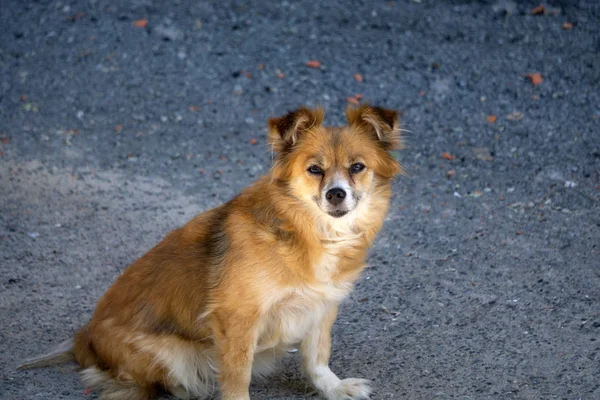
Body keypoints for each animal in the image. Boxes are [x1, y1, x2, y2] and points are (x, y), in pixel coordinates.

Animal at [18, 104, 404, 398]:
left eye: (357, 167)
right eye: (314, 170)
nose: (336, 194)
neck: (307, 231)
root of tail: (83, 338)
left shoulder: (320, 305)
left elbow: (316, 357)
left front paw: (333, 388)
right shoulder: (237, 320)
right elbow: (237, 377)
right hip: (170, 354)